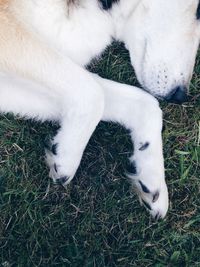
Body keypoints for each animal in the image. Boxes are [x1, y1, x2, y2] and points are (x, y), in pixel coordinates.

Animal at [0, 0, 200, 220]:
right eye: (199, 11)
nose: (180, 96)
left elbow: (146, 103)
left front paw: (151, 175)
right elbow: (93, 92)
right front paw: (66, 155)